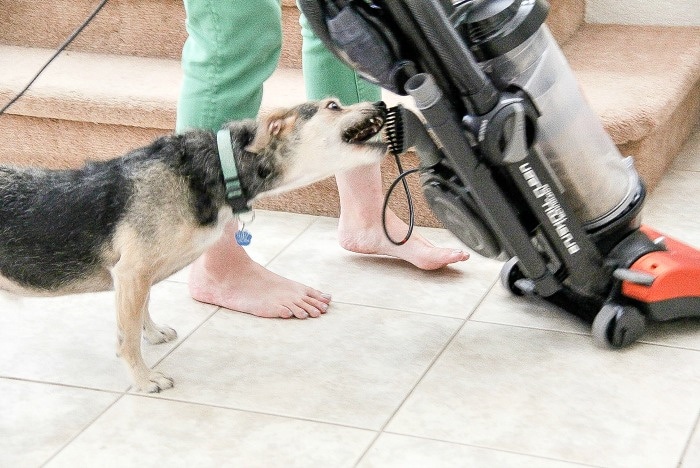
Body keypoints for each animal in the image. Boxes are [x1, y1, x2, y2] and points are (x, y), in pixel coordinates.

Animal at [0, 98, 388, 392]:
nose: (382, 102)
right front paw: (144, 379)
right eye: (333, 105)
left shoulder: (139, 277)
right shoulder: (131, 272)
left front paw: (153, 332)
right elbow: (127, 339)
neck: (218, 168)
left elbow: (142, 310)